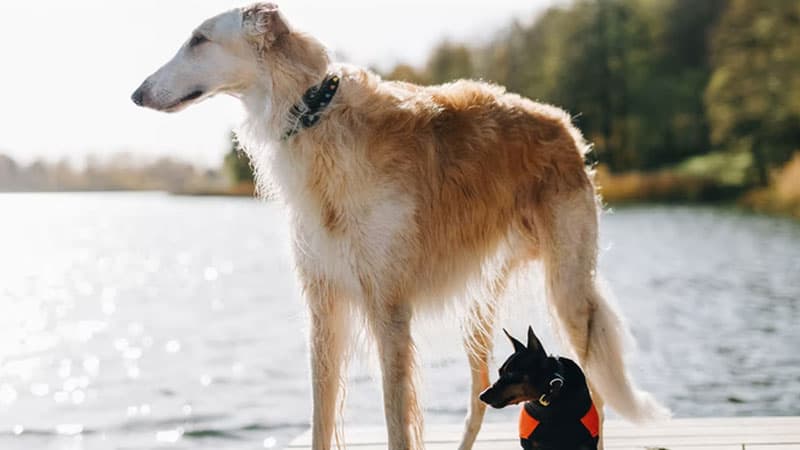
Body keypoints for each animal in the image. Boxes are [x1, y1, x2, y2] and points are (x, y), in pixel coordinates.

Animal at [133, 4, 668, 450]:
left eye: (199, 39)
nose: (136, 95)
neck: (316, 114)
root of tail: (564, 123)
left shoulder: (388, 307)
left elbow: (396, 424)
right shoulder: (324, 306)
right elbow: (320, 421)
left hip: (569, 294)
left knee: (596, 395)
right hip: (480, 312)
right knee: (478, 402)